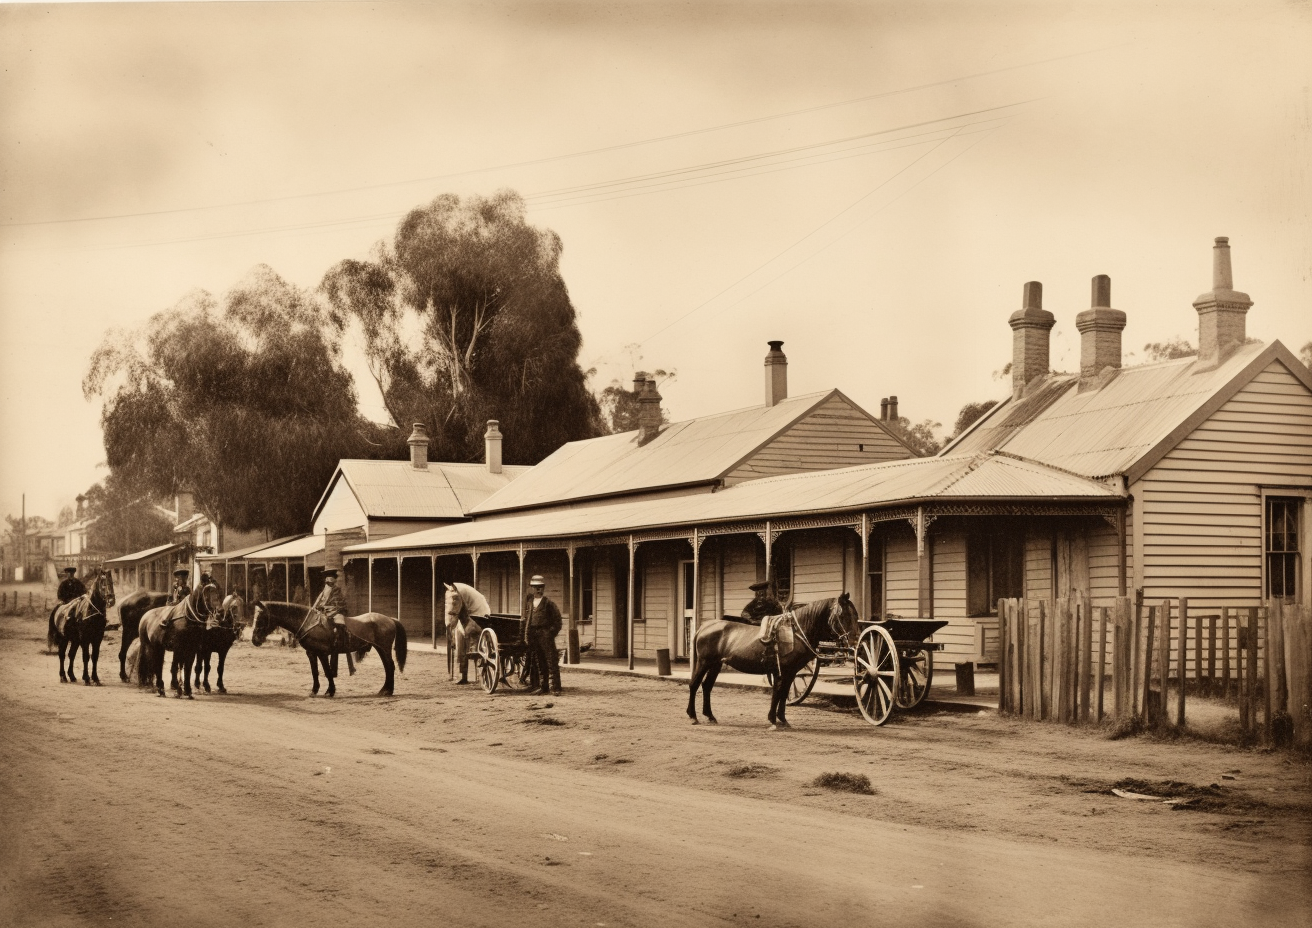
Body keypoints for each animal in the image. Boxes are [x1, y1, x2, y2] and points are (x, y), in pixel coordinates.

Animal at [249, 603, 404, 698]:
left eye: (261, 619)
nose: (255, 639)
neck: (309, 624)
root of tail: (390, 619)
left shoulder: (322, 654)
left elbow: (327, 671)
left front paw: (330, 691)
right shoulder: (311, 653)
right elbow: (315, 672)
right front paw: (314, 691)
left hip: (384, 649)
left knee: (390, 666)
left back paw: (388, 691)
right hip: (380, 649)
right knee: (387, 667)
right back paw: (384, 690)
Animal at [687, 595, 860, 735]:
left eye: (855, 615)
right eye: (842, 615)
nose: (854, 641)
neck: (796, 632)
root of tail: (704, 627)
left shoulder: (791, 672)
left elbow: (783, 694)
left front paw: (782, 719)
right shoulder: (781, 672)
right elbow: (777, 693)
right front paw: (772, 720)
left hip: (715, 665)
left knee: (707, 686)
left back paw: (710, 715)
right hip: (704, 662)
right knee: (694, 684)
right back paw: (692, 716)